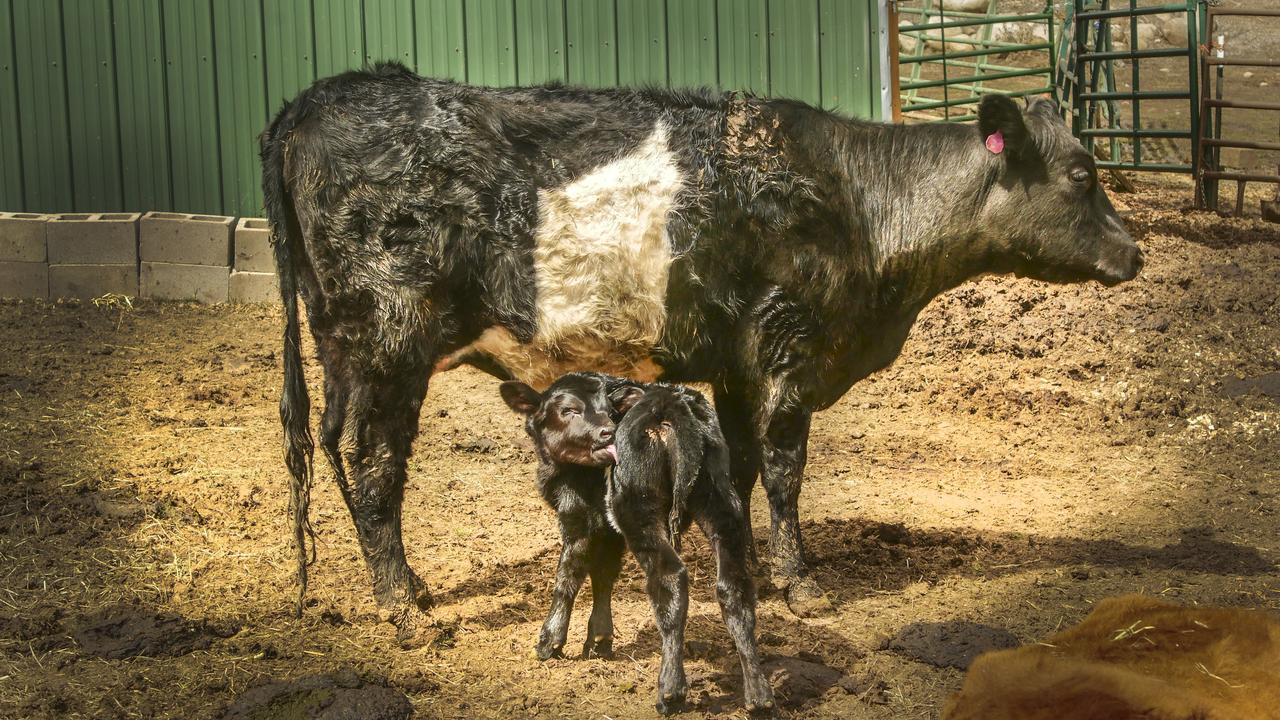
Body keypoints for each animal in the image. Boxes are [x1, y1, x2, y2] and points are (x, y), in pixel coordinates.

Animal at [257, 63, 1141, 632]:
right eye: (1082, 173)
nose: (1135, 252)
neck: (858, 204)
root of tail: (328, 93)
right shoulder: (786, 354)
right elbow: (783, 475)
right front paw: (801, 585)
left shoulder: (740, 367)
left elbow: (739, 471)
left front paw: (732, 556)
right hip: (388, 340)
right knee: (374, 458)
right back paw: (402, 599)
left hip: (345, 347)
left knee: (334, 443)